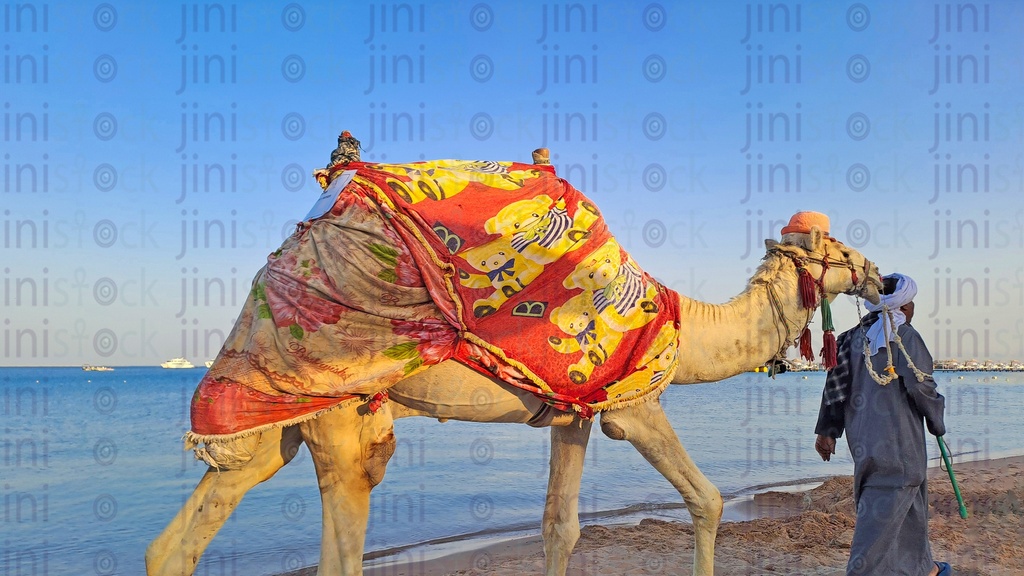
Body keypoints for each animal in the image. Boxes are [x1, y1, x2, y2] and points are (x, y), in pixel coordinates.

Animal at [146, 146, 882, 576]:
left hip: (280, 422)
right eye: (843, 248)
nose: (879, 276)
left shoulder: (572, 413)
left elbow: (561, 527)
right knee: (340, 545)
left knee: (180, 539)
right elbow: (707, 499)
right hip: (338, 400)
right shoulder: (633, 403)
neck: (681, 323)